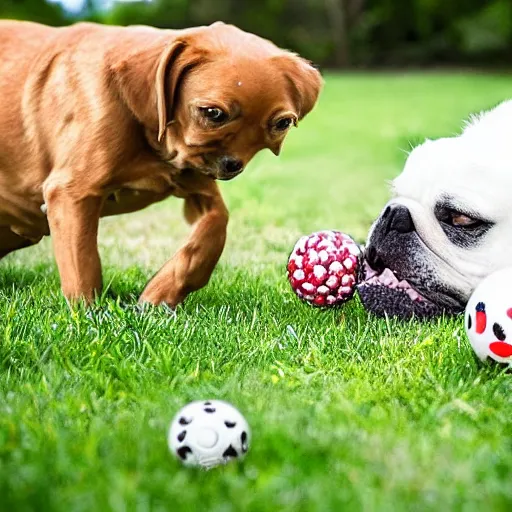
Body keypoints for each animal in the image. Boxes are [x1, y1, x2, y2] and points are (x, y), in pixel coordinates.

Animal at [0, 21, 320, 304]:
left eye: (282, 124)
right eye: (213, 113)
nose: (232, 165)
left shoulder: (198, 182)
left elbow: (212, 233)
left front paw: (160, 294)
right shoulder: (72, 193)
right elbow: (83, 264)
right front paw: (88, 317)